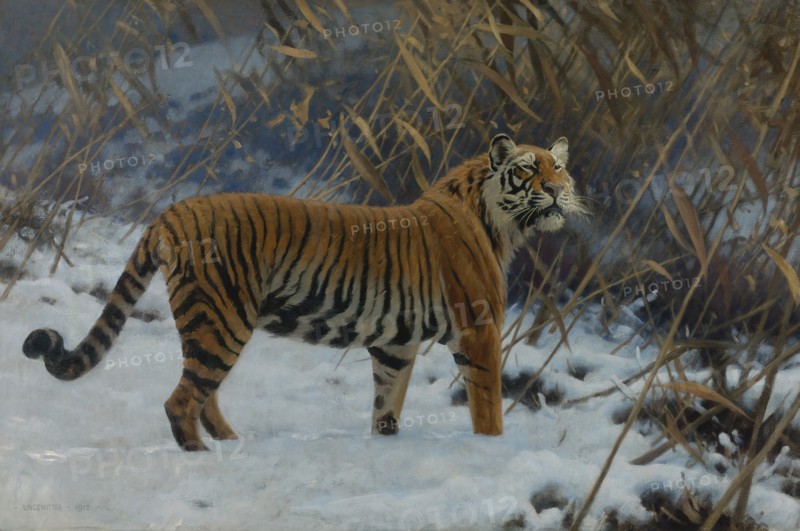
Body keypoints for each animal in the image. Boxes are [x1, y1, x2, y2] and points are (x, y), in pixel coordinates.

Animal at [22, 133, 585, 451]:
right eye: (530, 169)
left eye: (560, 167)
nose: (559, 191)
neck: (502, 223)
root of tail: (171, 210)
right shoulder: (479, 328)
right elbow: (488, 407)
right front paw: (491, 450)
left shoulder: (395, 345)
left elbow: (386, 406)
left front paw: (386, 447)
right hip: (223, 319)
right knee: (181, 400)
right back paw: (204, 458)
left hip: (209, 322)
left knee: (202, 393)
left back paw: (232, 445)